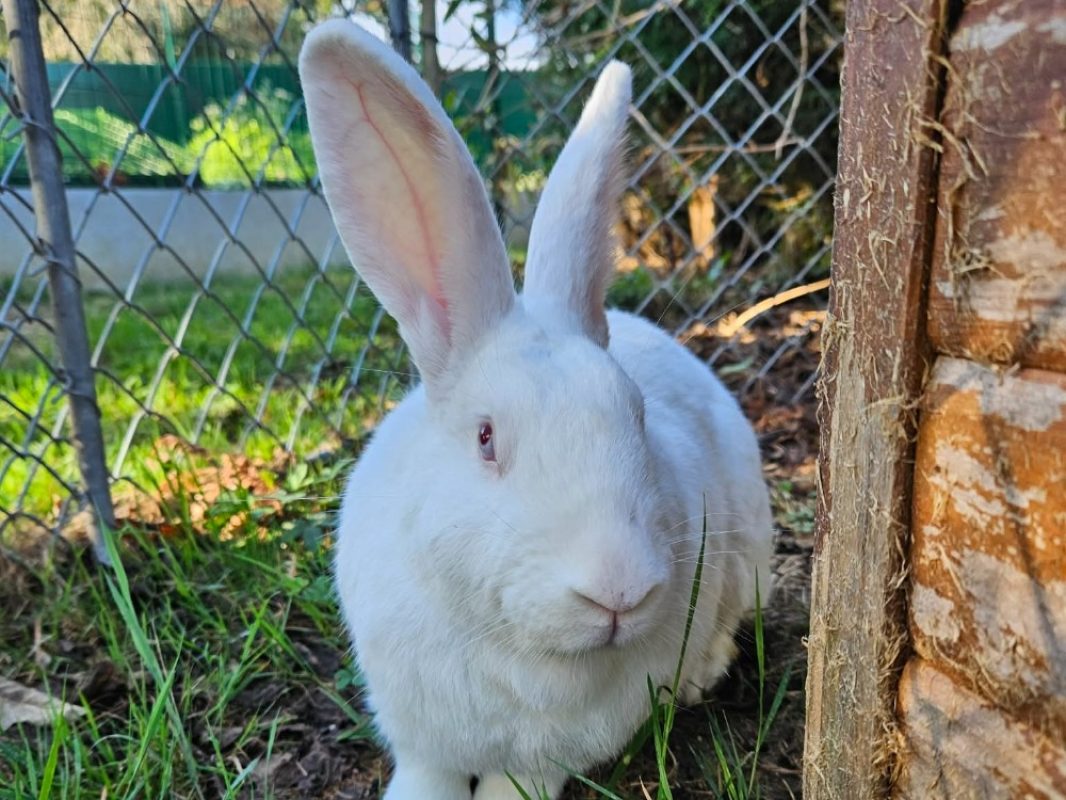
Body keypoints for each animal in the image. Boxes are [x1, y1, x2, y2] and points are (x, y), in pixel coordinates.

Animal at [299, 18, 774, 800]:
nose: (618, 592)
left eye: (637, 416)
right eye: (486, 437)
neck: (521, 652)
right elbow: (424, 777)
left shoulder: (541, 763)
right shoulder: (422, 737)